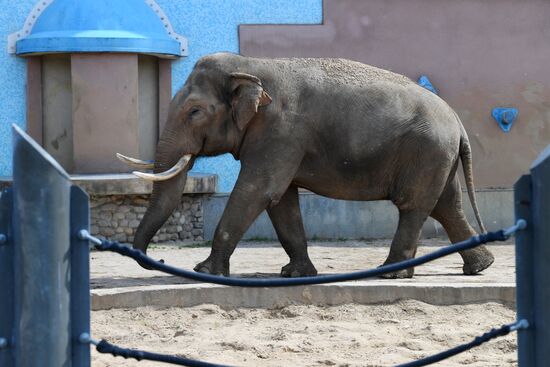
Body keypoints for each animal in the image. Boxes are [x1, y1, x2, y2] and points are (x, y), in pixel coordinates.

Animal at [116, 52, 496, 278]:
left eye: (194, 111)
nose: (160, 261)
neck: (250, 65)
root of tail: (457, 121)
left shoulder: (281, 132)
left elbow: (257, 191)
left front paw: (205, 272)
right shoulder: (282, 141)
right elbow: (282, 202)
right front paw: (295, 274)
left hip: (426, 151)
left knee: (414, 206)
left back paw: (390, 272)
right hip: (437, 156)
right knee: (446, 205)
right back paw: (479, 267)